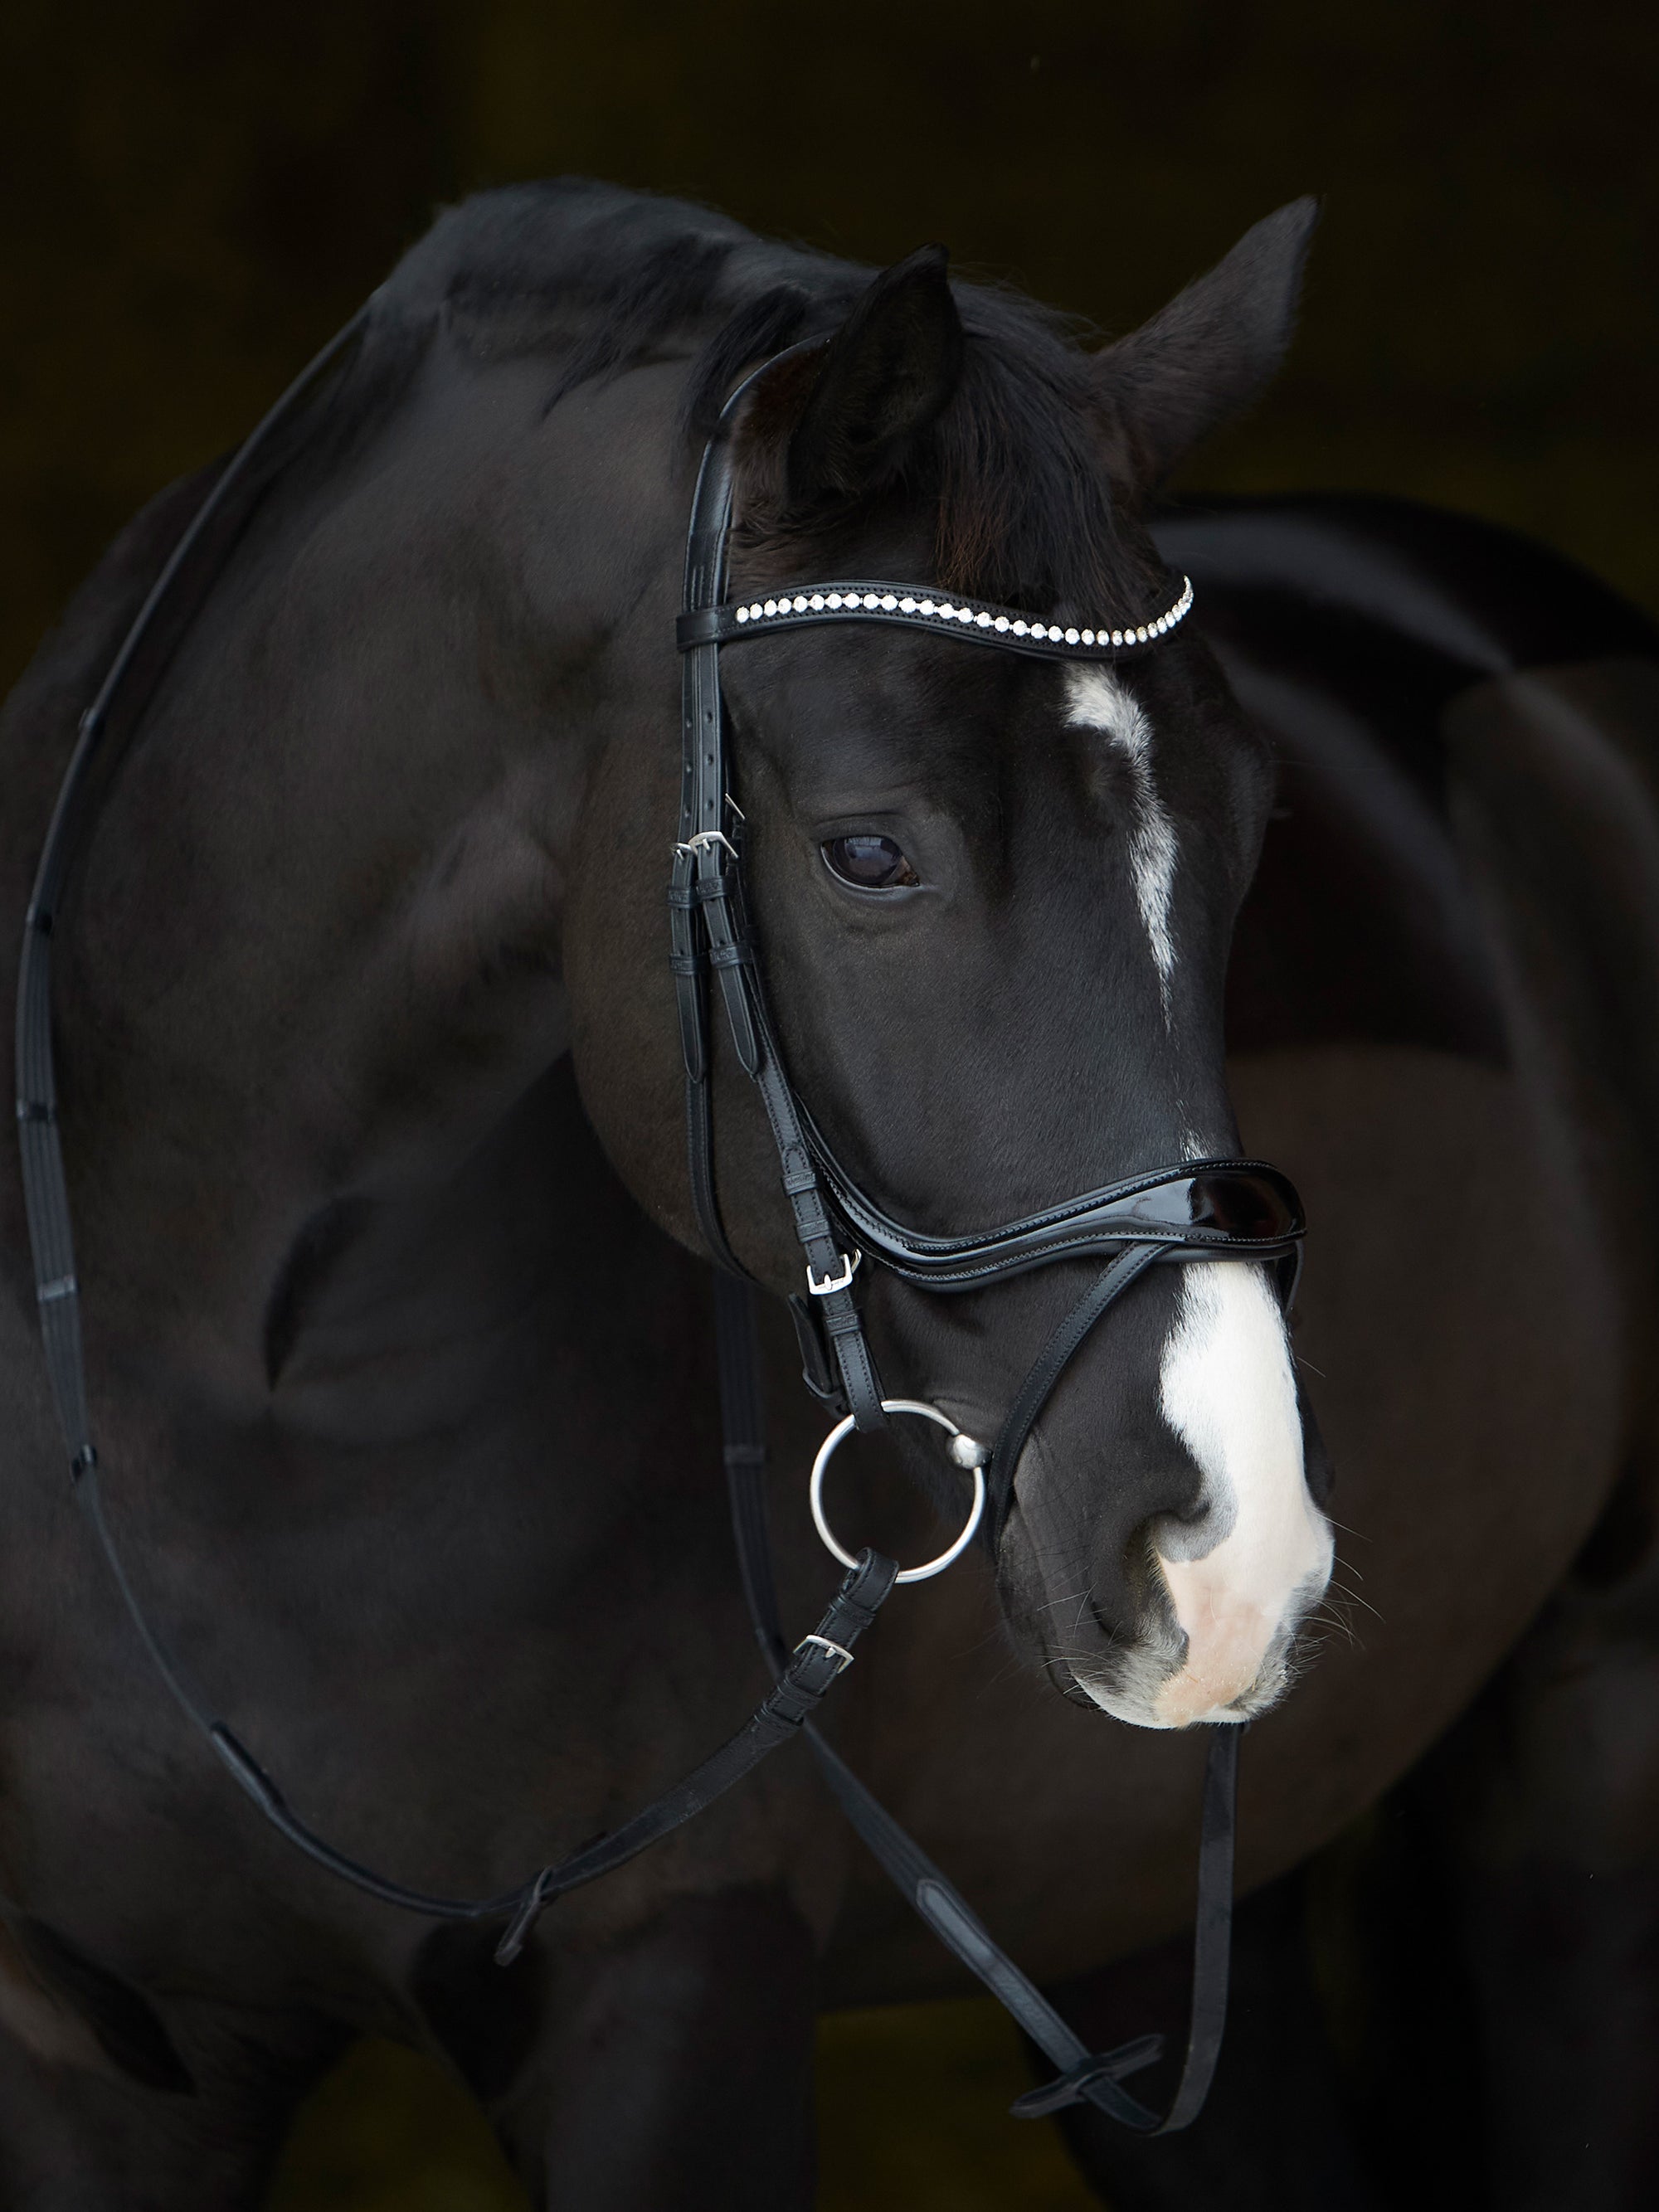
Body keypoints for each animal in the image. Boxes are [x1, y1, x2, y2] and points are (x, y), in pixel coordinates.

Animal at [0, 176, 1654, 2211]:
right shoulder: (88, 2042)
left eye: (1259, 823)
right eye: (870, 853)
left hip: (1589, 1751)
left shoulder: (676, 1980)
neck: (223, 1383)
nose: (1231, 1549)